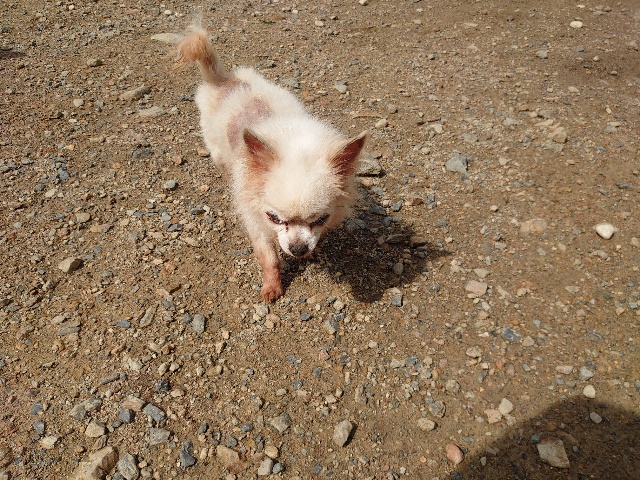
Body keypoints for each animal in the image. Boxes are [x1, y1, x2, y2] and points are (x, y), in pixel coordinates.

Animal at [175, 26, 366, 301]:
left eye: (321, 219)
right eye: (274, 218)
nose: (298, 248)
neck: (293, 139)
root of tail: (224, 81)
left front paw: (310, 252)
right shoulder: (254, 218)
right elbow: (269, 257)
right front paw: (272, 286)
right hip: (216, 149)